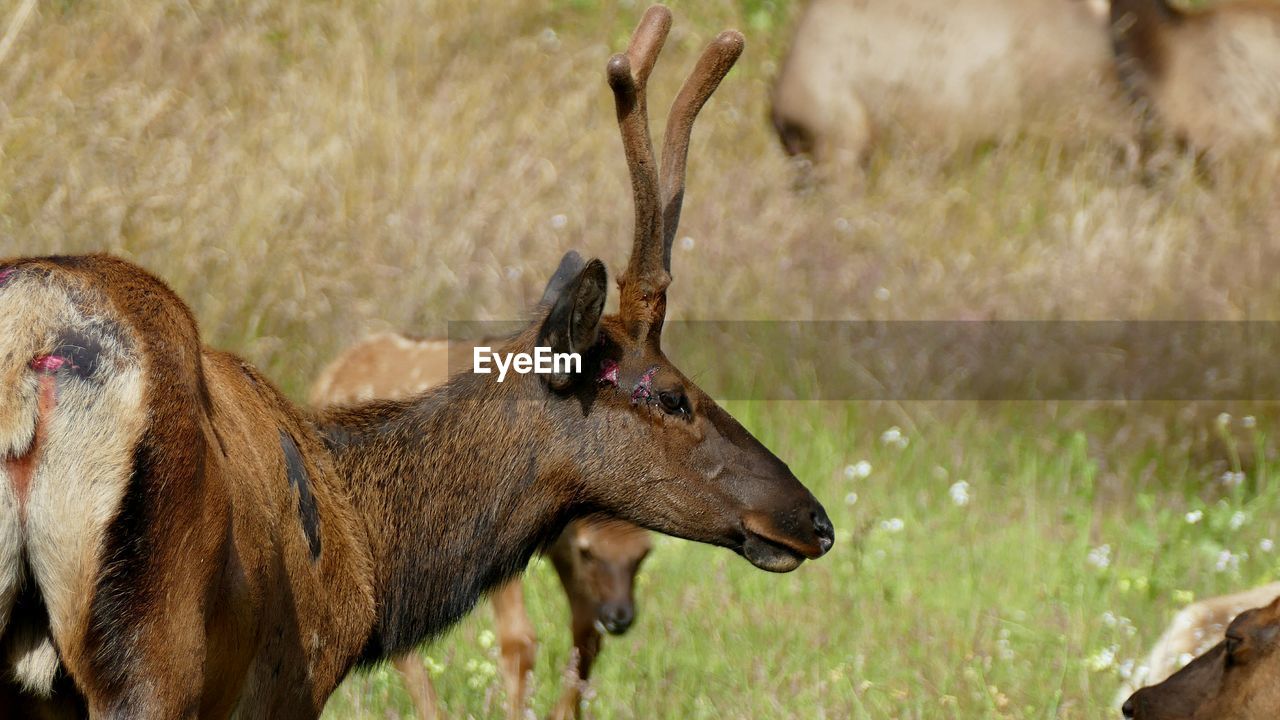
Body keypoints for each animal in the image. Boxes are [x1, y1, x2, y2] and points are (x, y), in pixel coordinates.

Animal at [307, 313, 650, 717]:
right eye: (589, 551)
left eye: (644, 553)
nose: (620, 617)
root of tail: (324, 379)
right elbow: (518, 640)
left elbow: (585, 631)